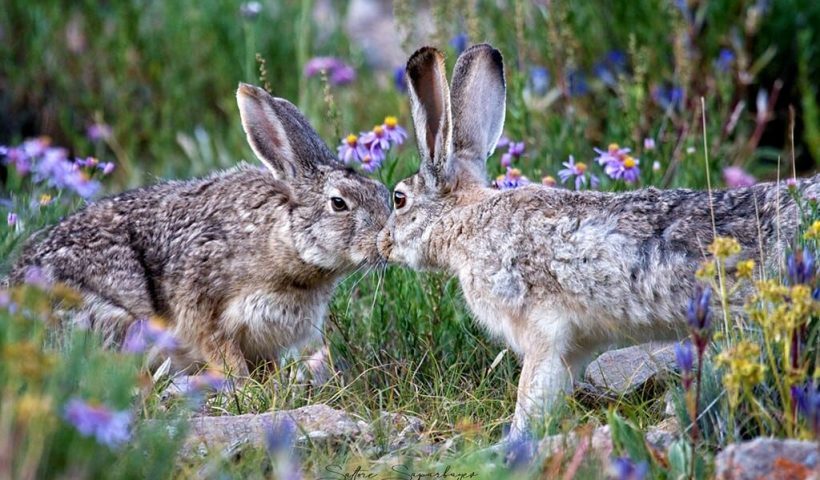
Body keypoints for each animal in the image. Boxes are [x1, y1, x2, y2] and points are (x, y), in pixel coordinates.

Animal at [10, 84, 390, 380]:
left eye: (383, 192)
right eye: (339, 203)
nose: (386, 242)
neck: (284, 241)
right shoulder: (205, 311)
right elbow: (225, 357)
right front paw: (246, 390)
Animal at [380, 44, 820, 438]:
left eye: (398, 199)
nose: (382, 242)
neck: (467, 220)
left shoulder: (542, 331)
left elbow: (531, 393)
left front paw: (513, 442)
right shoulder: (575, 346)